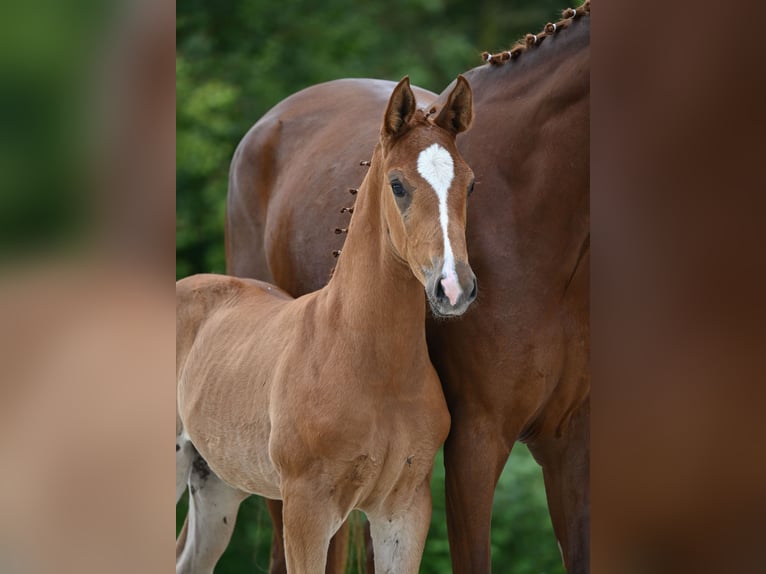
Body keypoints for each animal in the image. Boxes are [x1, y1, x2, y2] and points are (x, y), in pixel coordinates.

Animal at [181, 77, 480, 574]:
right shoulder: (307, 509)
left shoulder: (404, 510)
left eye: (470, 185)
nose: (453, 287)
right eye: (398, 185)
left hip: (216, 485)